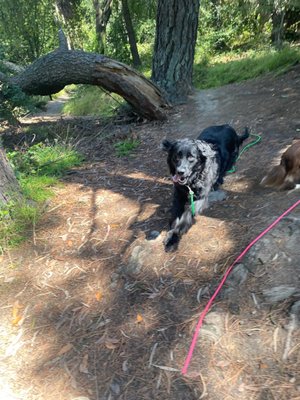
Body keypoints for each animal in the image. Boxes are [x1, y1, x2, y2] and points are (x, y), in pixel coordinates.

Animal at [162, 123, 248, 252]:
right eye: (176, 157)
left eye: (191, 158)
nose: (180, 172)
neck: (193, 180)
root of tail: (228, 126)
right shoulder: (178, 195)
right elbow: (176, 214)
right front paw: (172, 237)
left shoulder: (202, 196)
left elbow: (189, 211)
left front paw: (182, 226)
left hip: (230, 160)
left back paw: (218, 182)